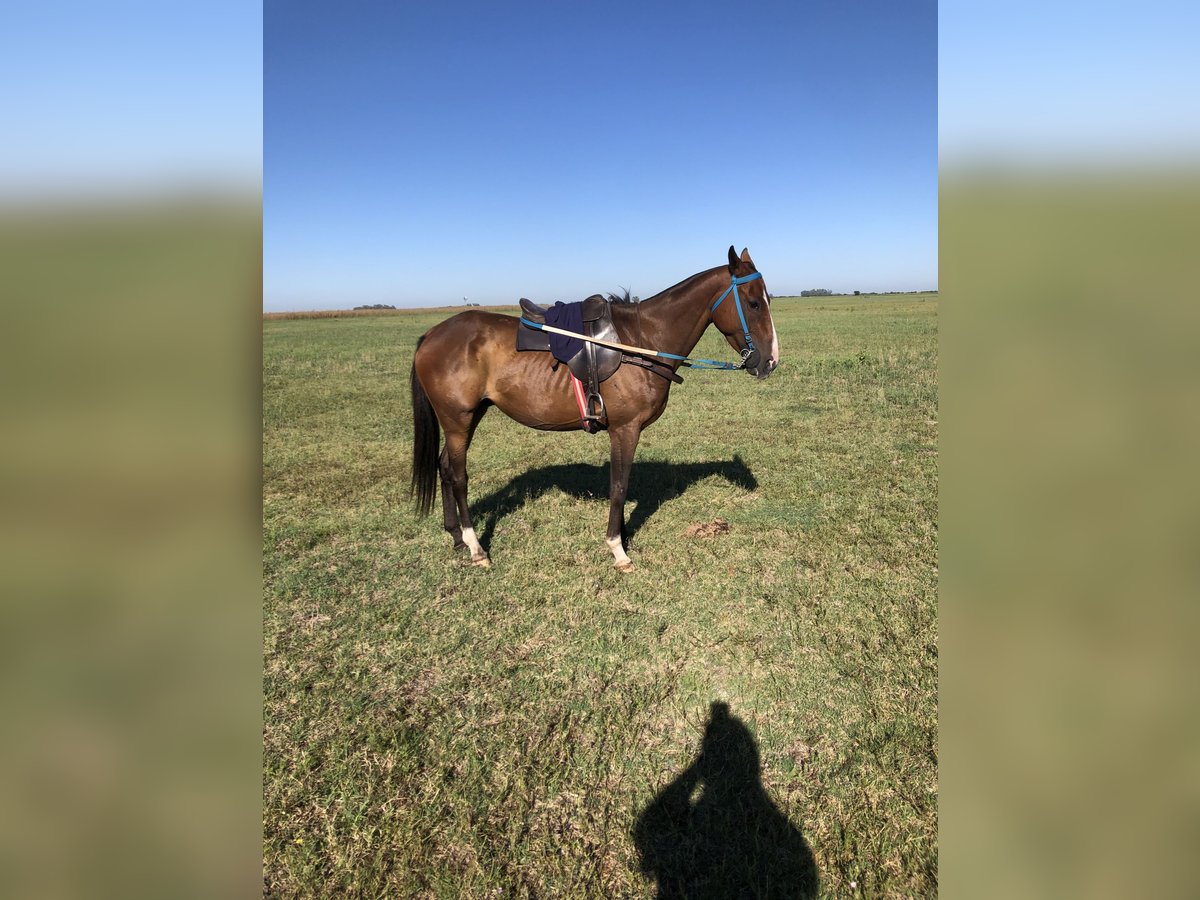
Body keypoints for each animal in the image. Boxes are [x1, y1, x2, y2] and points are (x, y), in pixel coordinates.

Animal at [408, 247, 777, 571]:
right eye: (753, 303)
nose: (770, 361)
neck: (641, 342)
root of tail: (432, 334)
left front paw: (624, 537)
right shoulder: (625, 429)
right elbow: (619, 485)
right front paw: (618, 549)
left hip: (470, 416)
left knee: (444, 466)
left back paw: (456, 537)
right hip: (458, 419)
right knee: (458, 475)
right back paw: (475, 547)